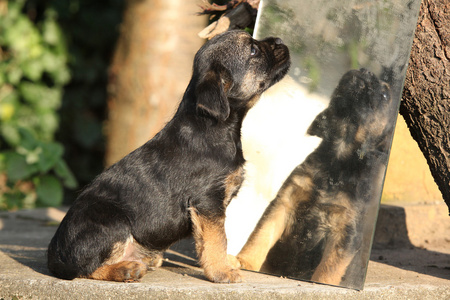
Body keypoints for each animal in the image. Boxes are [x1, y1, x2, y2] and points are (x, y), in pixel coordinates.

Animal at [47, 30, 290, 284]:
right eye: (253, 50)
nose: (280, 41)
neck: (212, 125)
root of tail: (54, 255)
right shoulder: (207, 202)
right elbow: (217, 239)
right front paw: (221, 272)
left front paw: (226, 263)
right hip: (112, 220)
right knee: (85, 268)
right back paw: (126, 269)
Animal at [237, 68, 392, 286]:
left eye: (385, 95)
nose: (365, 70)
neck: (337, 162)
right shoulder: (284, 203)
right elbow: (261, 235)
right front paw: (244, 262)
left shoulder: (345, 231)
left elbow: (328, 269)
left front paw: (324, 283)